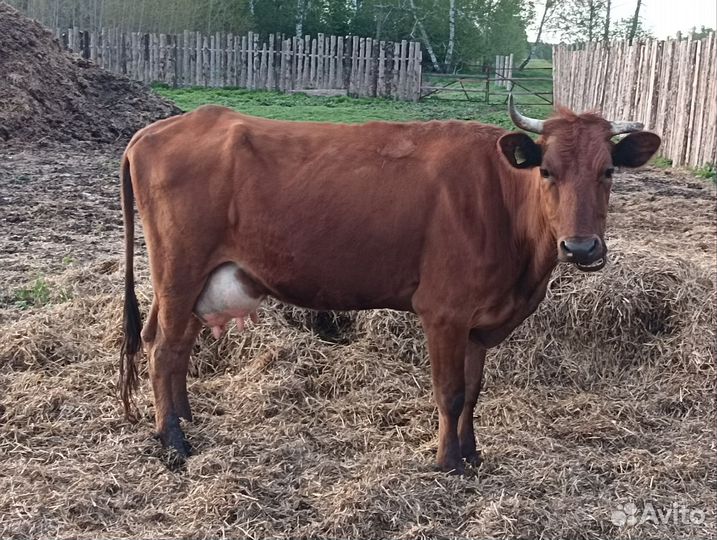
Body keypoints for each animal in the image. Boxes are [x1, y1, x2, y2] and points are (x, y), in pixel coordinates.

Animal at [119, 97, 661, 473]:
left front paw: (472, 454)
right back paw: (173, 441)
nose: (582, 248)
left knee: (172, 344)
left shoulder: (477, 322)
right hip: (179, 270)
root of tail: (157, 129)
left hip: (192, 281)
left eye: (607, 171)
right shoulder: (444, 311)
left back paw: (184, 418)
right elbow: (450, 392)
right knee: (163, 349)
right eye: (547, 170)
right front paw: (447, 462)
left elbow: (474, 390)